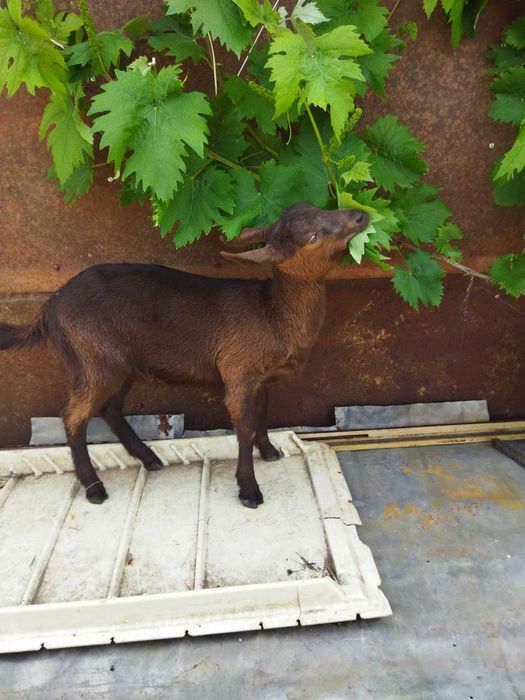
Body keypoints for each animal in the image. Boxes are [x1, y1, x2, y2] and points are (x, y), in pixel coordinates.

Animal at [0, 203, 368, 508]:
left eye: (318, 207)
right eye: (312, 237)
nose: (361, 216)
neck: (273, 314)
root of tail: (47, 312)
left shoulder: (258, 376)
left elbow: (263, 412)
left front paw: (269, 451)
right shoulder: (238, 369)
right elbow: (244, 425)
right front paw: (249, 490)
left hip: (121, 364)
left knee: (110, 407)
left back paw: (148, 458)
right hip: (93, 359)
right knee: (73, 415)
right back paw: (94, 487)